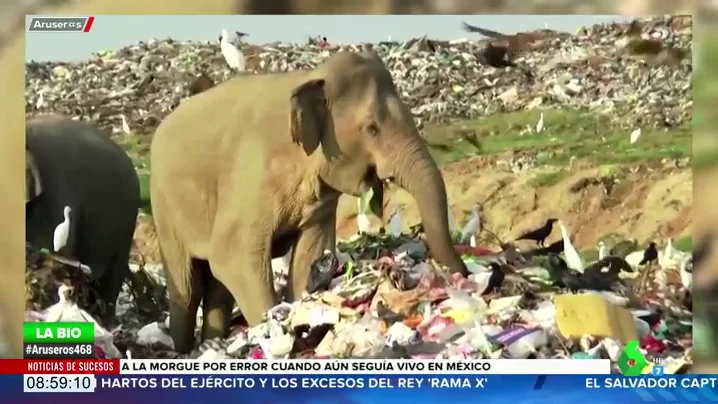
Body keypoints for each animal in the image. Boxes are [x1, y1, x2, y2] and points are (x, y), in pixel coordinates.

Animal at [149, 51, 470, 354]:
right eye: (372, 128)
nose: (465, 274)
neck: (310, 76)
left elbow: (310, 253)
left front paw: (301, 316)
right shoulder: (250, 178)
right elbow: (232, 256)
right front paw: (276, 328)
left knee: (217, 288)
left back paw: (211, 343)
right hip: (164, 205)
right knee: (188, 285)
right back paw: (184, 349)